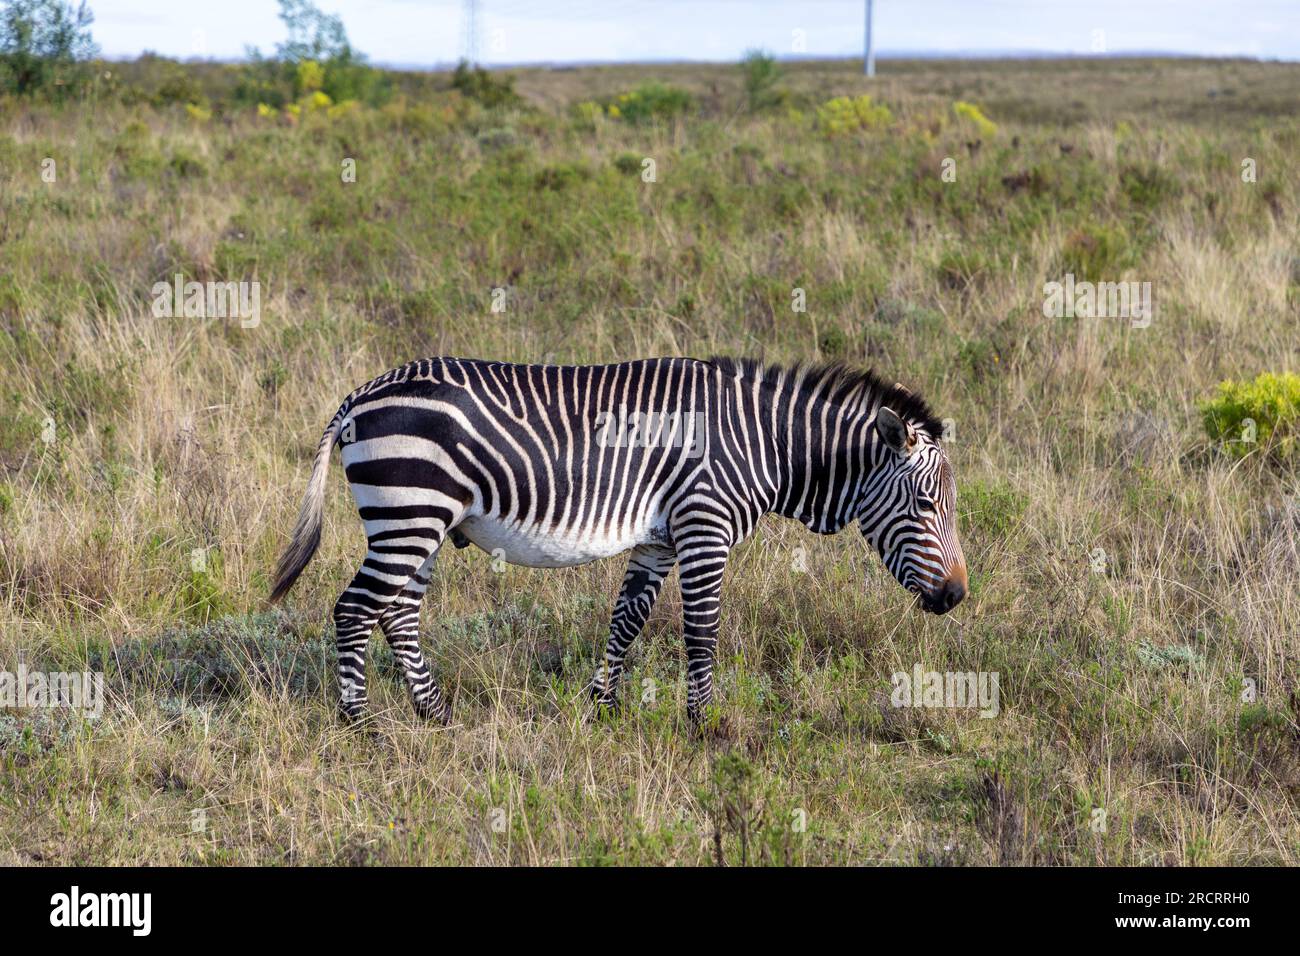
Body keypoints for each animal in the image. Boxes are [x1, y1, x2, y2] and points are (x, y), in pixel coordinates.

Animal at [271, 356, 967, 723]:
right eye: (927, 504)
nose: (958, 597)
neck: (760, 442)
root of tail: (362, 393)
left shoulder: (659, 539)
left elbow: (626, 620)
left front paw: (599, 709)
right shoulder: (704, 525)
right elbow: (701, 631)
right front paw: (703, 726)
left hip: (421, 522)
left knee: (398, 613)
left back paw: (436, 717)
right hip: (410, 512)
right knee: (355, 609)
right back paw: (362, 726)